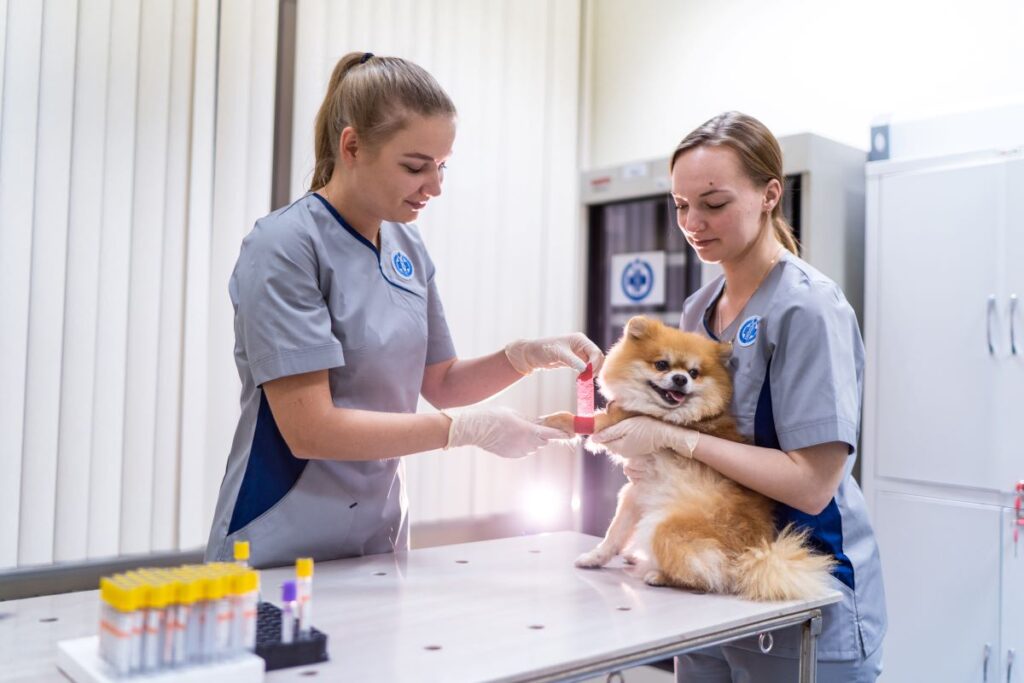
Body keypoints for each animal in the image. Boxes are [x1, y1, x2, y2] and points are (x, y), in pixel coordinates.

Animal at [544, 317, 831, 602]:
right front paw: (595, 557)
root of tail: (753, 555)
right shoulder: (636, 492)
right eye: (662, 364)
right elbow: (614, 534)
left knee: (709, 576)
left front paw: (549, 421)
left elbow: (578, 420)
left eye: (694, 373)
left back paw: (659, 575)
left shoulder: (618, 422)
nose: (681, 378)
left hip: (663, 526)